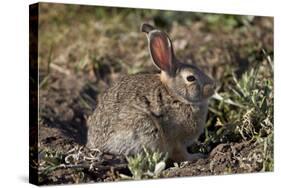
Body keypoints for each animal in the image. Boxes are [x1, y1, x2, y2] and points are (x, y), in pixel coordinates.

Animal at [86, 23, 213, 162]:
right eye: (191, 78)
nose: (212, 87)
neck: (174, 95)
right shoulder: (175, 139)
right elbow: (180, 153)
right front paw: (196, 156)